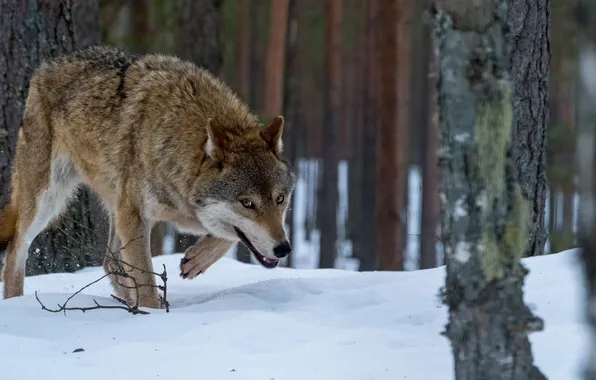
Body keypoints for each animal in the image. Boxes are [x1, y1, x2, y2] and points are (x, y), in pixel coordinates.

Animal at [0, 45, 296, 308]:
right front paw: (151, 316)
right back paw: (16, 305)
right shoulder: (134, 216)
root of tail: (46, 66)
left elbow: (225, 235)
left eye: (280, 199)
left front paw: (195, 260)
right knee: (16, 249)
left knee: (110, 260)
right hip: (47, 201)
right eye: (247, 203)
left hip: (110, 205)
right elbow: (147, 282)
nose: (284, 249)